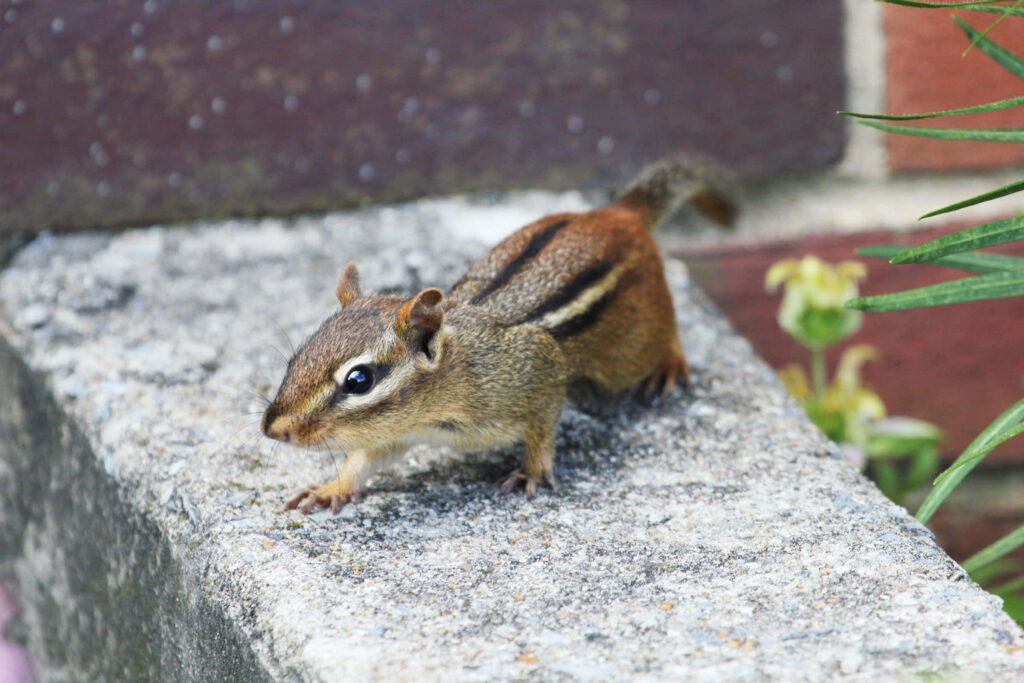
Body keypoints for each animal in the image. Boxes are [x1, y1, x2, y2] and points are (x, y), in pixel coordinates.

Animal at [261, 155, 735, 513]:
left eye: (359, 380)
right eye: (296, 357)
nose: (273, 429)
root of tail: (618, 215)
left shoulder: (538, 369)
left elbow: (542, 427)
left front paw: (532, 470)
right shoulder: (395, 433)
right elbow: (363, 459)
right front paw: (332, 488)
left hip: (629, 350)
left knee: (666, 330)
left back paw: (670, 364)